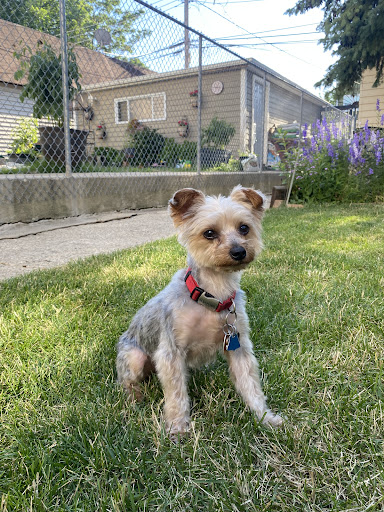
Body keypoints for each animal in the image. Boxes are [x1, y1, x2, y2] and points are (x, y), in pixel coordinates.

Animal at [116, 186, 282, 438]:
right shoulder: (170, 352)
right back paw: (135, 399)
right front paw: (177, 427)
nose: (239, 251)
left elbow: (250, 384)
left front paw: (265, 417)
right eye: (209, 233)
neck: (212, 296)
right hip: (134, 358)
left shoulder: (239, 346)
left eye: (244, 228)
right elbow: (176, 394)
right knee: (128, 381)